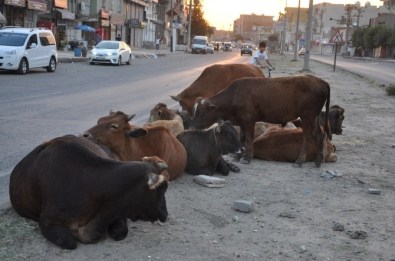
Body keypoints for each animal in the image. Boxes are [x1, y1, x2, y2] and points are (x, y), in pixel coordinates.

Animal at [9, 135, 169, 249]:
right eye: (161, 189)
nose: (165, 214)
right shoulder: (47, 222)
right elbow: (70, 242)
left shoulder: (118, 209)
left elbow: (120, 232)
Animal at [190, 74, 332, 166]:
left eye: (201, 113)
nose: (192, 127)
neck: (234, 96)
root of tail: (321, 81)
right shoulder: (242, 122)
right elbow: (243, 139)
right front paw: (243, 153)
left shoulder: (249, 121)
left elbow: (249, 138)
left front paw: (247, 157)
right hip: (314, 117)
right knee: (319, 135)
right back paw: (319, 159)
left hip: (307, 116)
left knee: (307, 137)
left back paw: (300, 160)